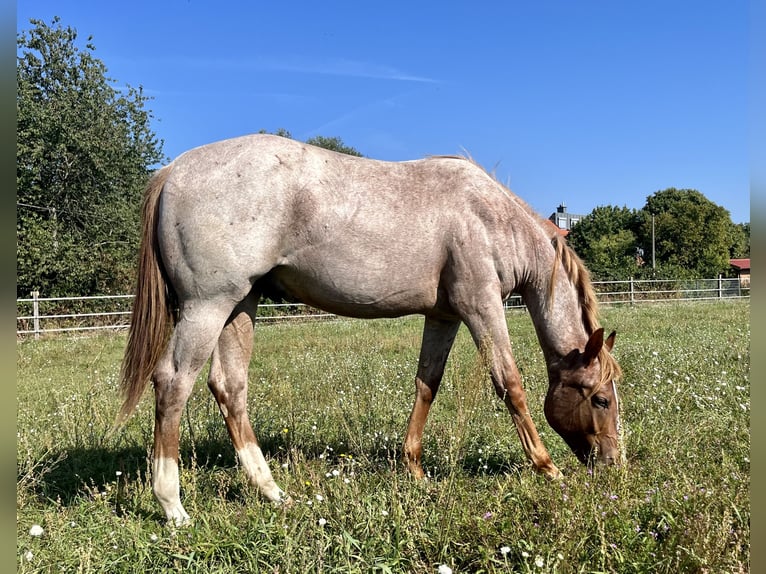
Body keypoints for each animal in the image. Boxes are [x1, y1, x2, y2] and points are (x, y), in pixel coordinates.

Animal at [118, 135, 624, 528]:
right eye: (601, 399)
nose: (613, 463)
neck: (489, 218)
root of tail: (173, 170)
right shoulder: (480, 308)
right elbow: (510, 385)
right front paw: (547, 467)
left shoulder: (444, 316)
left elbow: (427, 384)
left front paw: (414, 468)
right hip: (208, 307)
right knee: (172, 385)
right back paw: (173, 506)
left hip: (240, 305)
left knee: (229, 387)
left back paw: (272, 491)